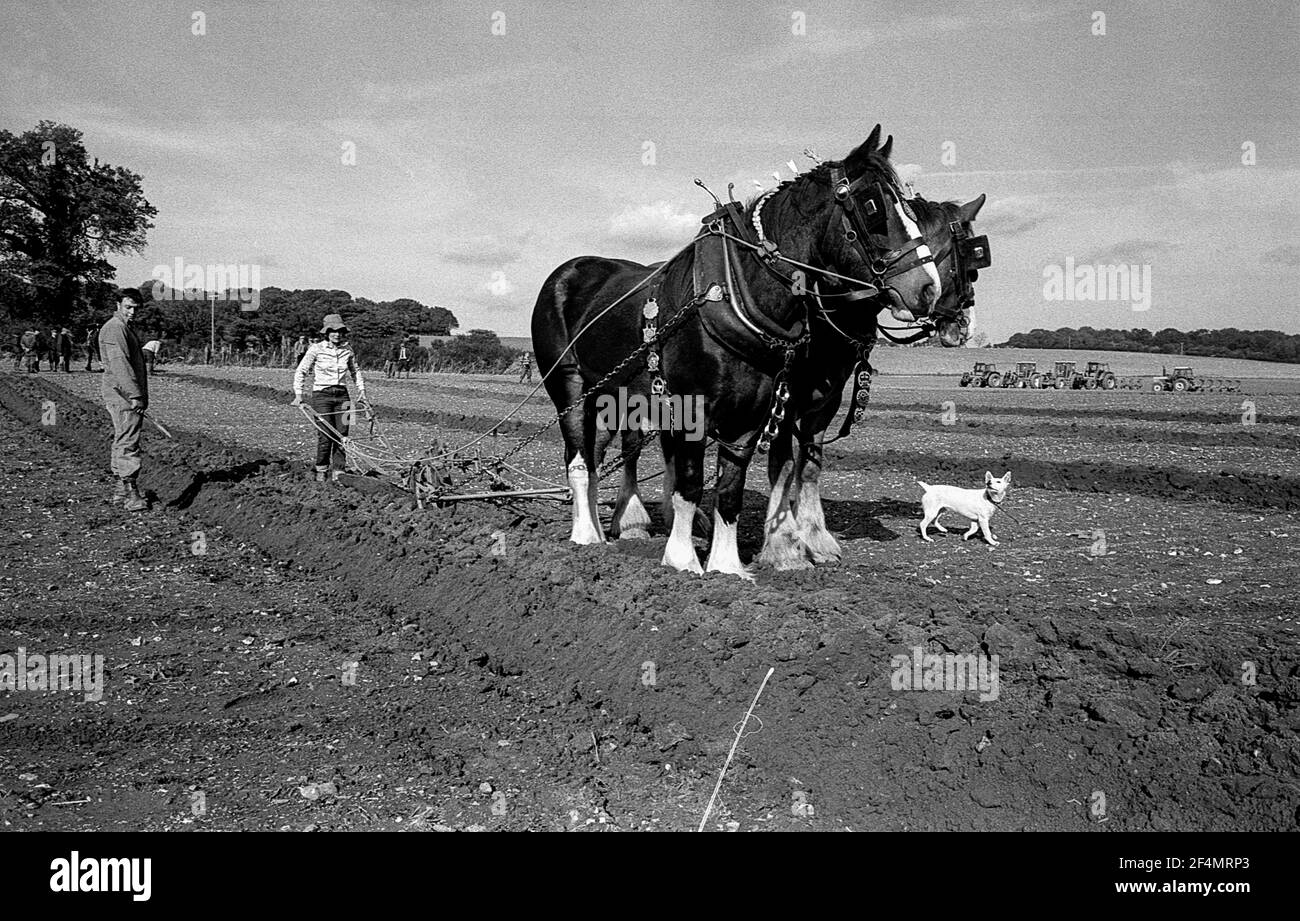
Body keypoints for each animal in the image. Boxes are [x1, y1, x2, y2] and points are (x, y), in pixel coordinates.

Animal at [531, 126, 955, 579]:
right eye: (874, 206)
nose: (928, 288)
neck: (740, 294)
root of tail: (567, 270)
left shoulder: (751, 416)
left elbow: (731, 490)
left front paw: (727, 565)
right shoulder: (692, 410)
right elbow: (691, 485)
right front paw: (684, 560)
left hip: (614, 394)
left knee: (595, 456)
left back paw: (602, 525)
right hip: (570, 386)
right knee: (579, 460)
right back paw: (586, 536)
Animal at [757, 194, 990, 569]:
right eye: (968, 267)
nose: (966, 326)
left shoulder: (826, 400)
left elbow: (809, 467)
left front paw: (816, 539)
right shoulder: (783, 399)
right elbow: (783, 466)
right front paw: (782, 547)